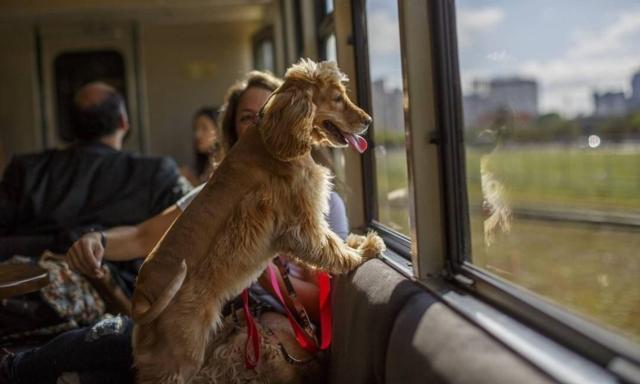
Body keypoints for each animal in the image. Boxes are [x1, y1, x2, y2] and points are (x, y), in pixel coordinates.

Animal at [130, 58, 384, 382]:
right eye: (337, 98)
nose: (368, 120)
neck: (274, 138)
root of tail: (141, 294)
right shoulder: (301, 222)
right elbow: (329, 247)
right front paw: (364, 251)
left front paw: (356, 241)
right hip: (179, 355)